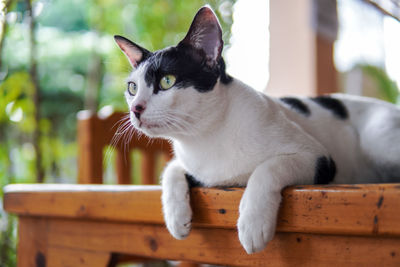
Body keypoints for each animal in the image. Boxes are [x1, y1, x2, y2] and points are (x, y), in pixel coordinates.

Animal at [114, 5, 400, 254]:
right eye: (132, 88)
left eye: (167, 81)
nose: (135, 109)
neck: (205, 137)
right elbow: (171, 169)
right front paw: (176, 219)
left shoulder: (318, 157)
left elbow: (267, 168)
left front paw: (252, 225)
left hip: (377, 140)